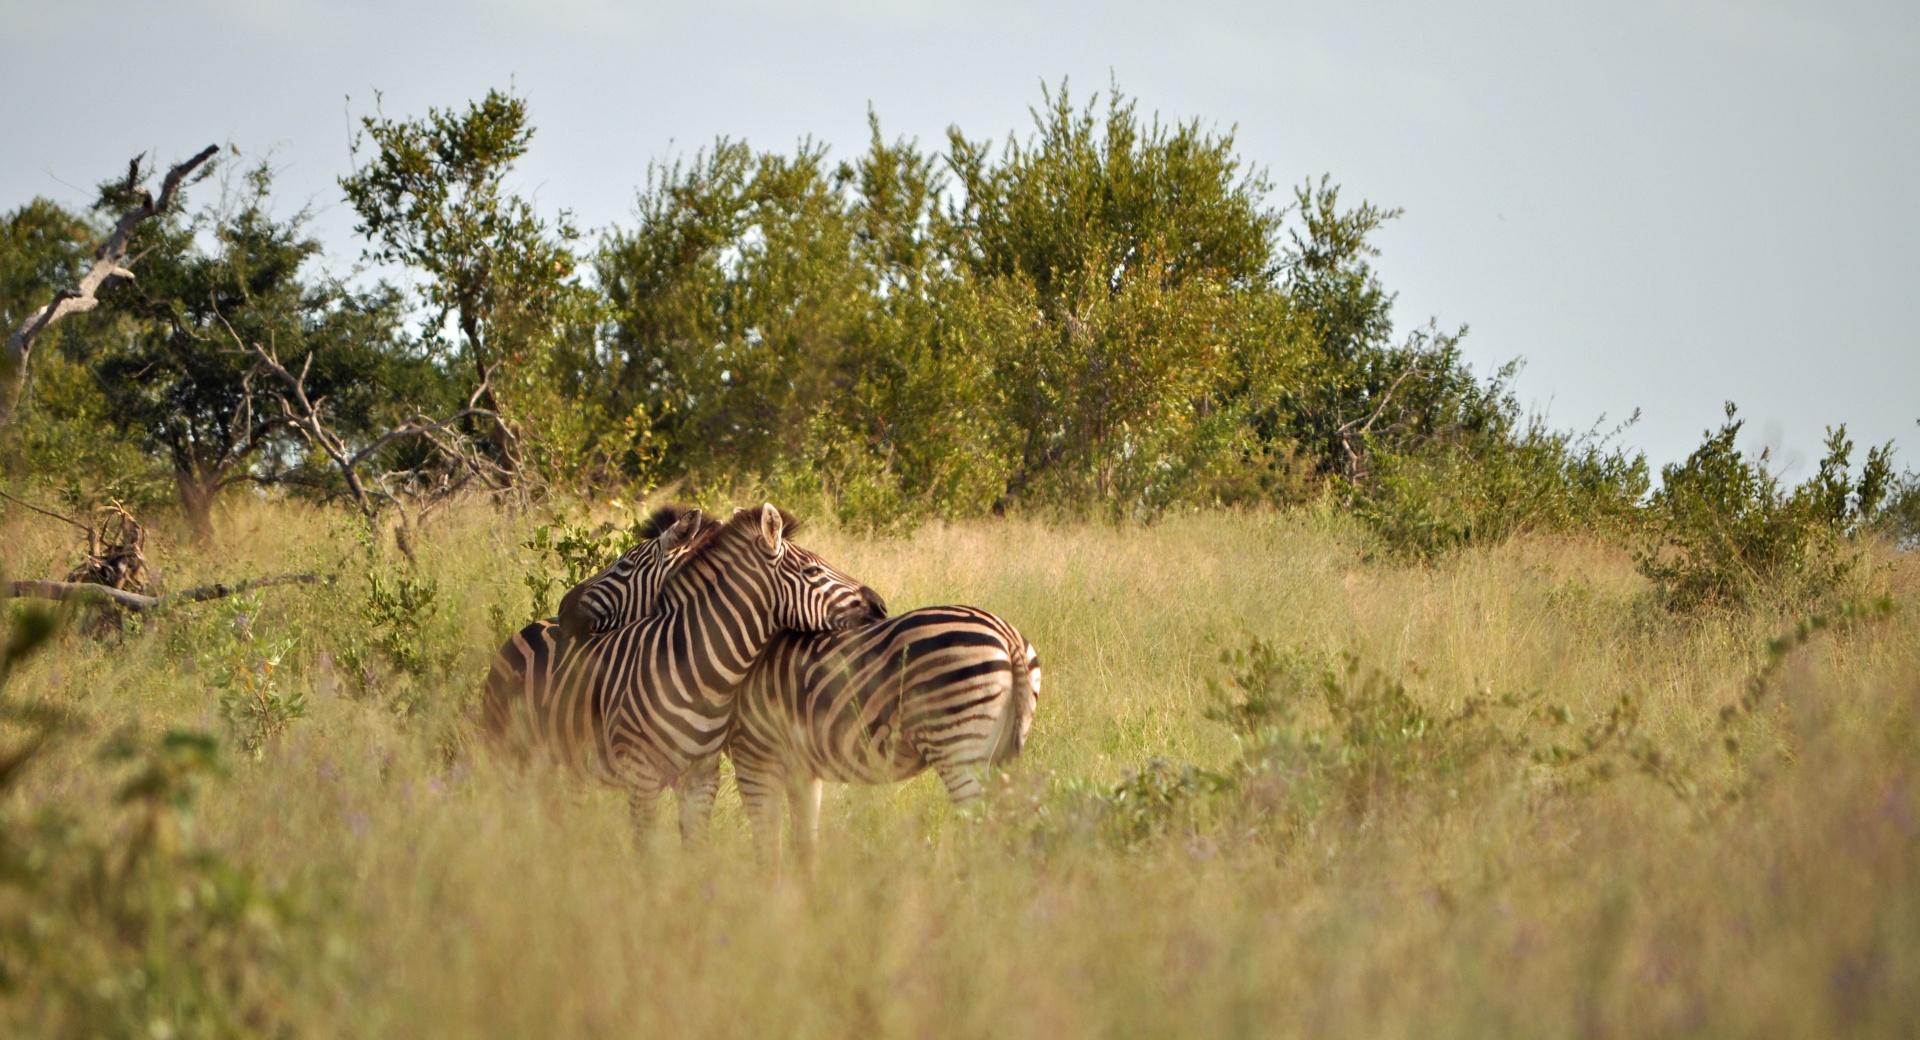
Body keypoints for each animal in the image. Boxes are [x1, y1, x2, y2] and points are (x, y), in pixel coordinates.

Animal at [480, 502, 883, 844]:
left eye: (623, 566)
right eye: (813, 570)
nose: (880, 605)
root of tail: (529, 627)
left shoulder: (705, 777)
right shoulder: (648, 775)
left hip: (564, 763)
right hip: (510, 752)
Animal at [560, 510, 1044, 867]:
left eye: (623, 564)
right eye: (812, 566)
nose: (563, 611)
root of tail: (1007, 636)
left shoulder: (756, 759)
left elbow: (768, 847)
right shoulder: (800, 768)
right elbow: (802, 847)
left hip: (959, 752)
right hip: (1000, 755)